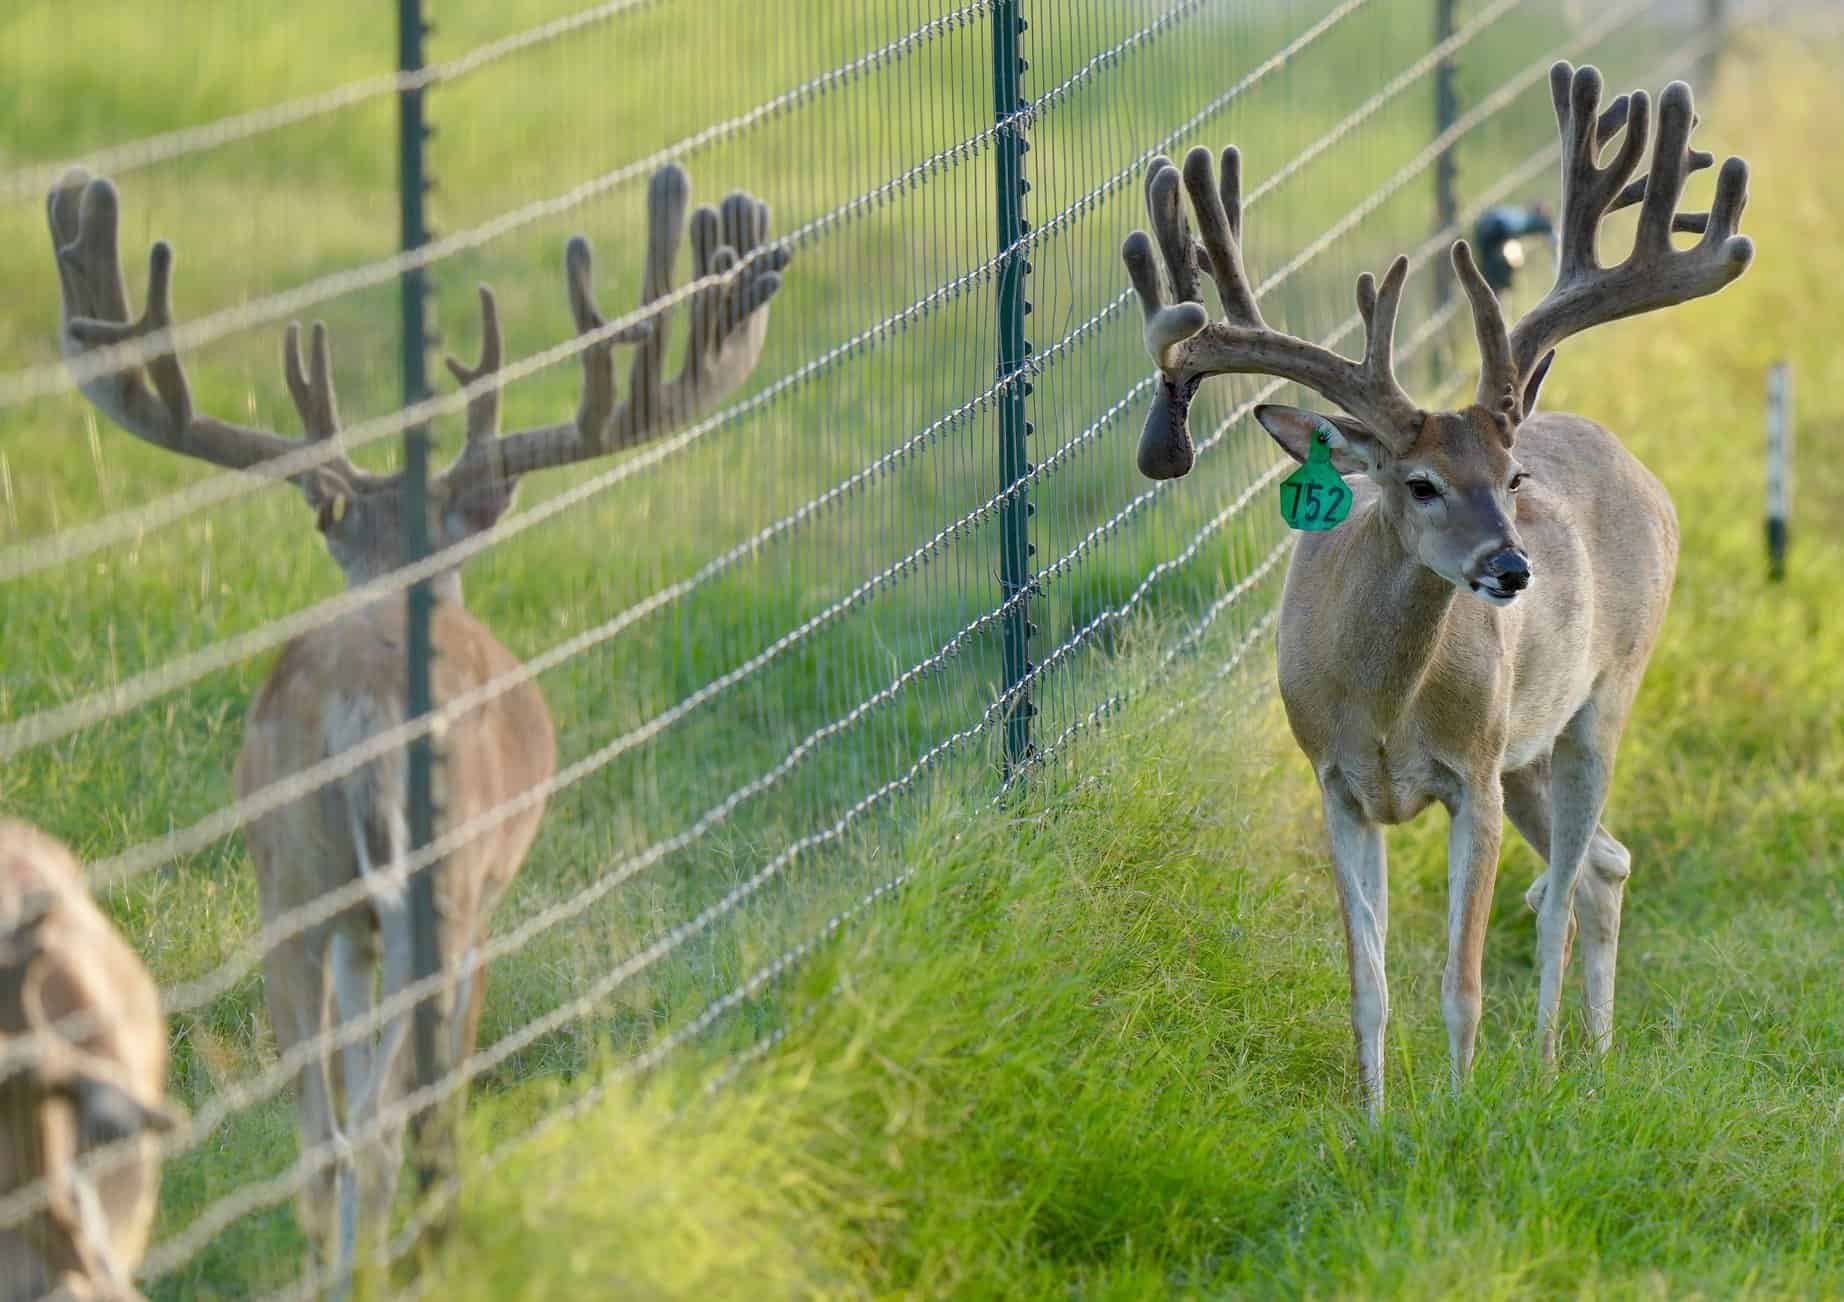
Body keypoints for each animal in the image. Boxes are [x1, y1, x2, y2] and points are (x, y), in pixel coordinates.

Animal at [47, 160, 788, 1278]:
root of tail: (363, 703)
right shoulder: (479, 904)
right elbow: (439, 1102)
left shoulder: (343, 919)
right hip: (437, 881)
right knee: (389, 1127)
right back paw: (412, 1253)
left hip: (291, 875)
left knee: (321, 1141)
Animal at [1119, 62, 1751, 1114]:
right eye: (1419, 484)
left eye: (1512, 477)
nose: (1511, 567)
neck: (1382, 708)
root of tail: (1635, 465)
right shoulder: (1334, 781)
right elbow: (1366, 983)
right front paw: (1374, 1121)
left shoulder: (1473, 775)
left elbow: (1461, 981)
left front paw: (1455, 1116)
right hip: (1529, 750)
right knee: (1604, 866)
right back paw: (1592, 1056)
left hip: (1598, 701)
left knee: (1565, 889)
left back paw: (1552, 1064)